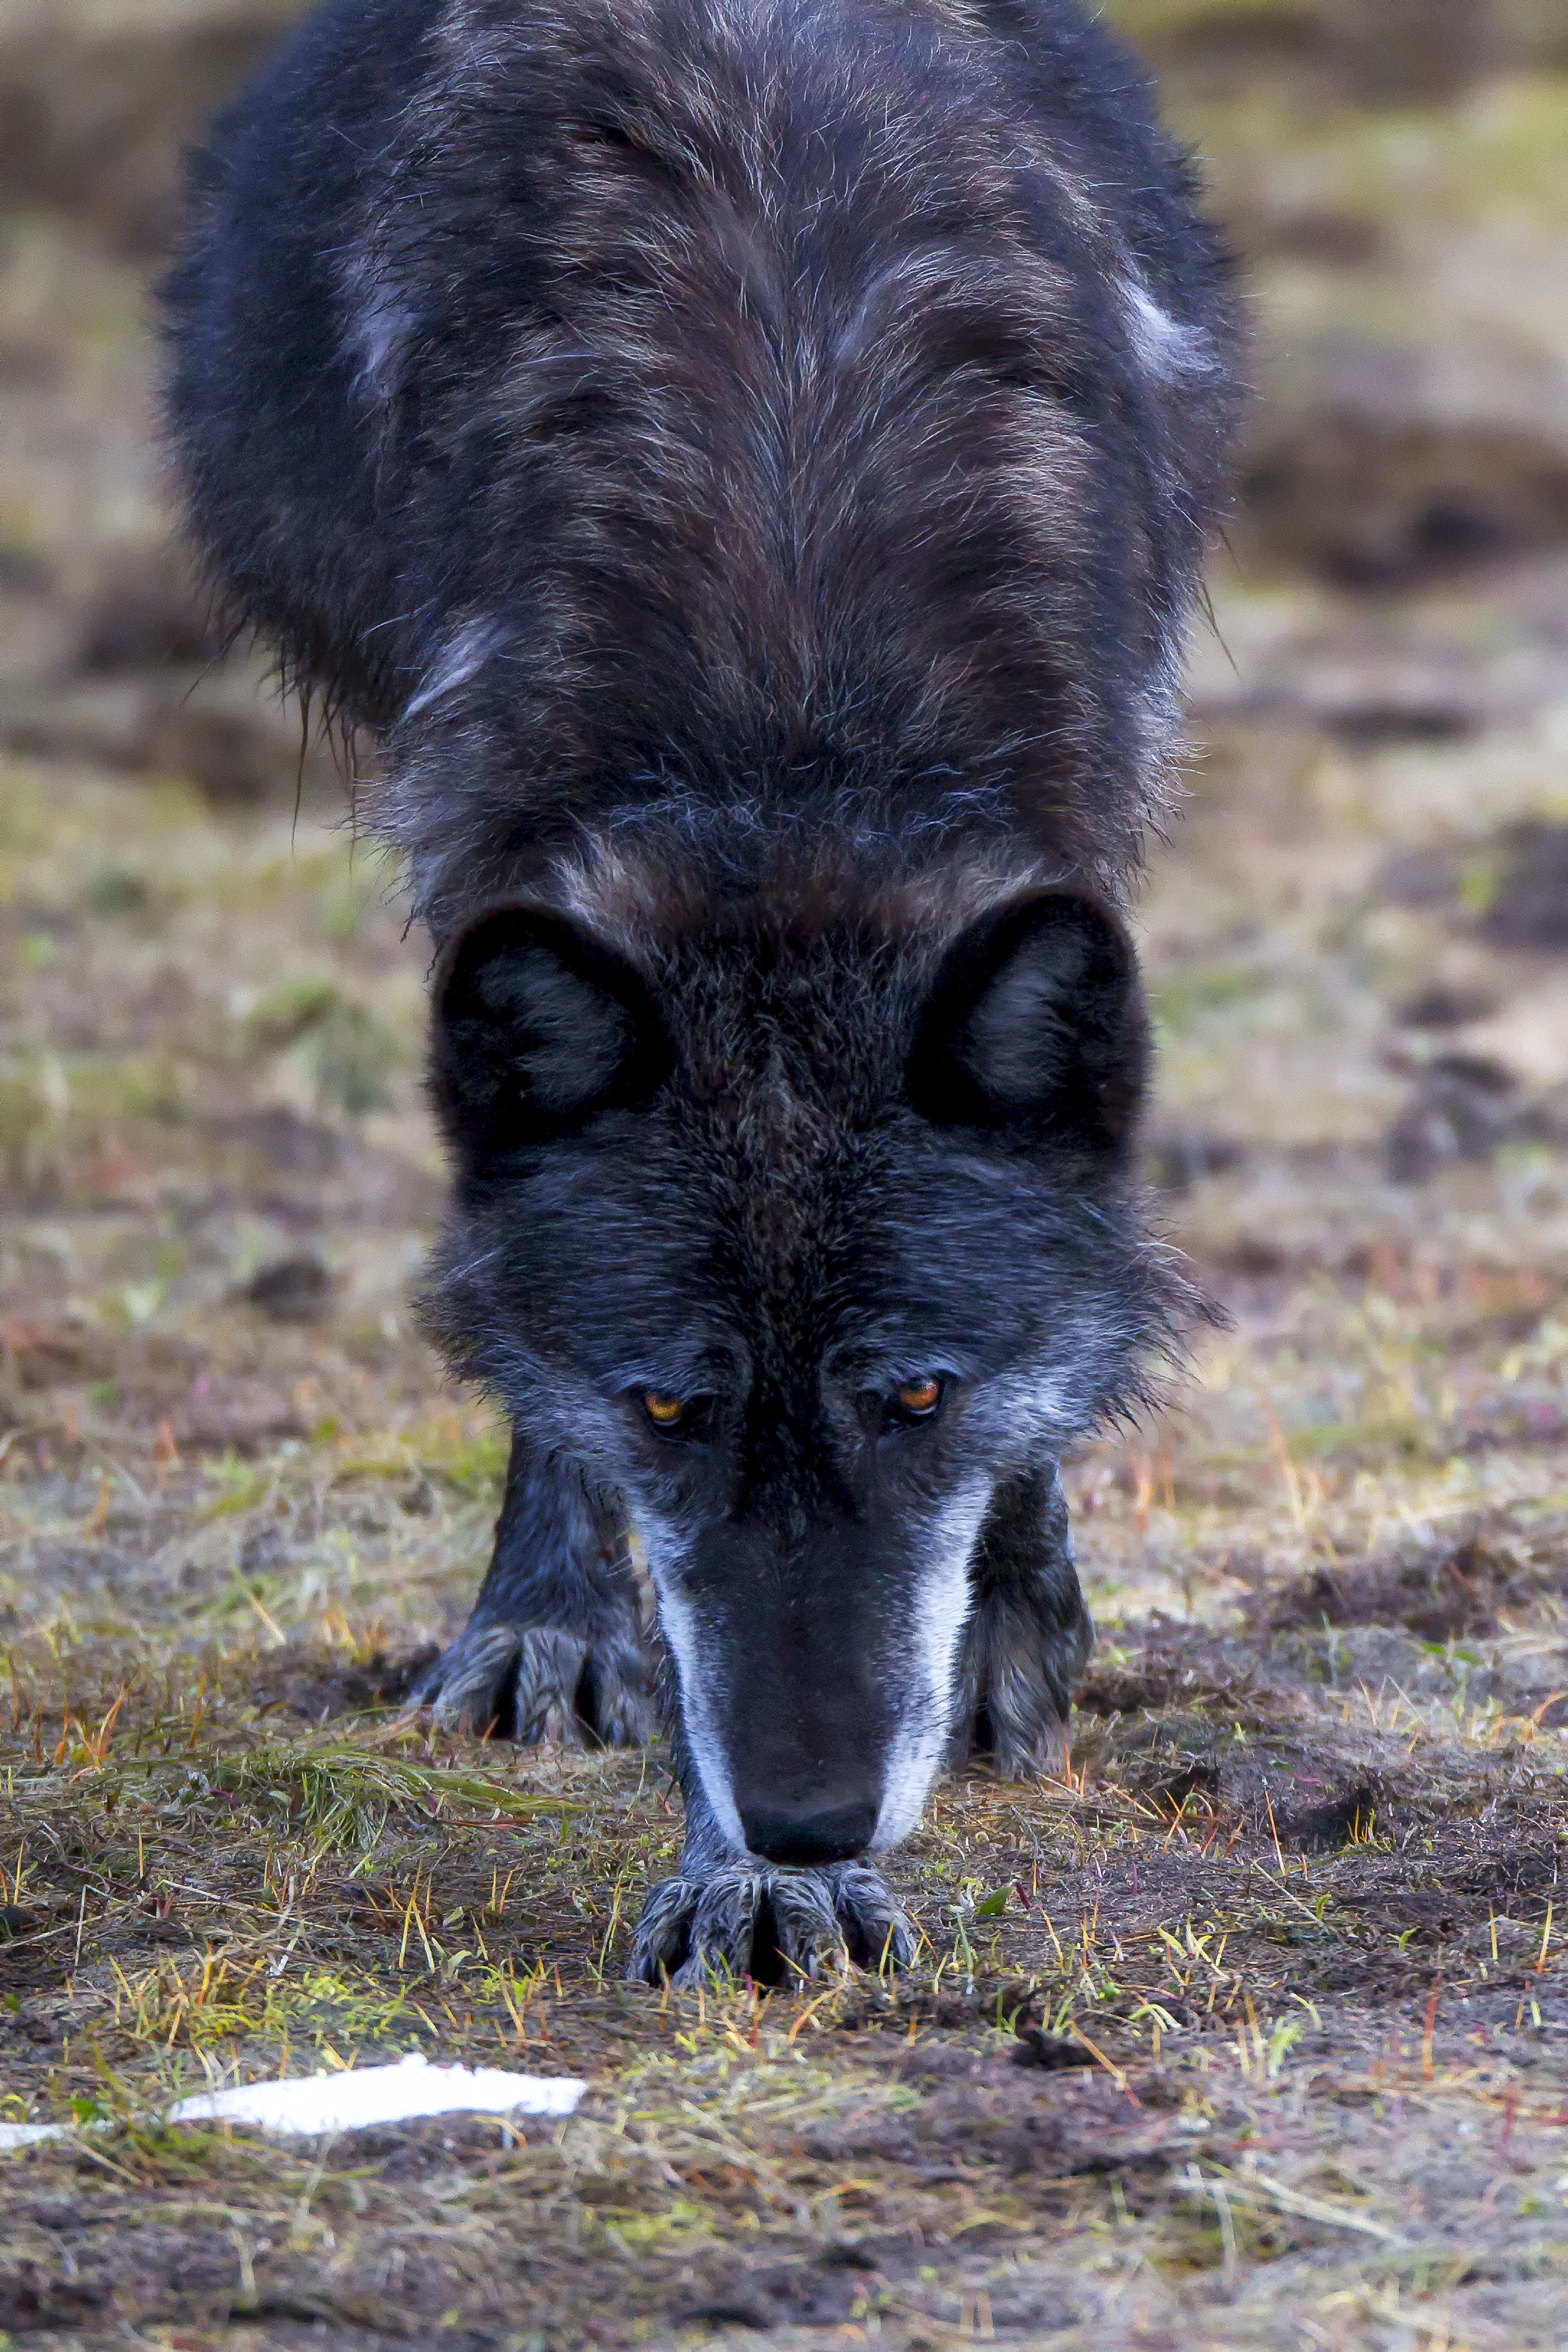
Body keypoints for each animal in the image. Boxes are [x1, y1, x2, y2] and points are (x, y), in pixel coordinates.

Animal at [166, 0, 1239, 1983]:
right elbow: (649, 1558)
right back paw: (547, 1622)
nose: (810, 1816)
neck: (786, 715)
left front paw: (1003, 1621)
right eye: (670, 1405)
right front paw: (751, 1873)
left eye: (913, 1394)